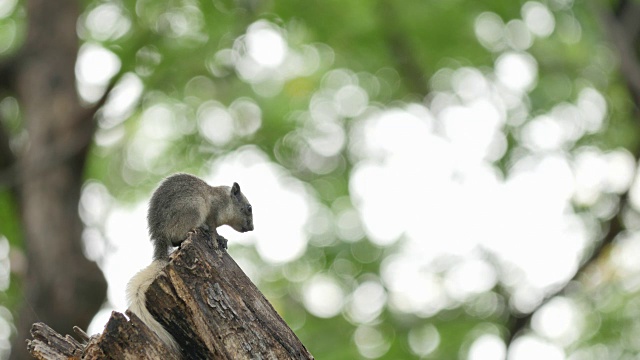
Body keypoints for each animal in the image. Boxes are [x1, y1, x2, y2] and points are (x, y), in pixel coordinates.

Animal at [125, 173, 255, 352]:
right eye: (249, 208)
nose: (252, 228)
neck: (224, 199)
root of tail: (160, 236)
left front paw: (221, 239)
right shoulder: (212, 214)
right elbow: (213, 229)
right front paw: (215, 239)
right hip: (193, 209)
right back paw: (197, 230)